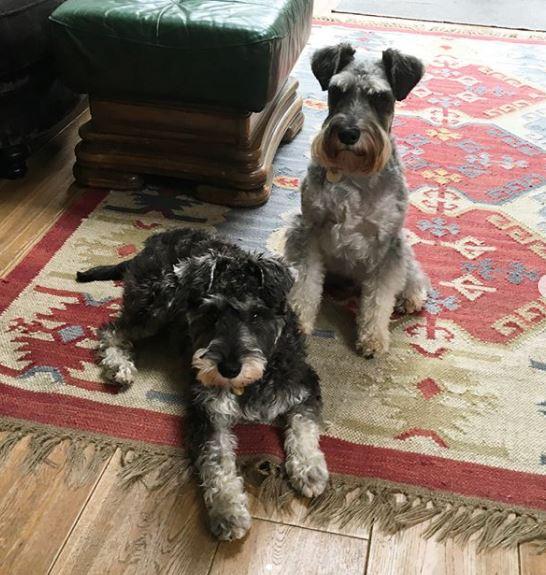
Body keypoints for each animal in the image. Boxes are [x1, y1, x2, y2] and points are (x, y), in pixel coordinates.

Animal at [76, 228, 328, 540]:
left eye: (257, 314)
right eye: (212, 314)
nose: (229, 369)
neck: (252, 382)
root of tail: (155, 240)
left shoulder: (302, 386)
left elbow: (304, 427)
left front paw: (309, 470)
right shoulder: (208, 413)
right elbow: (216, 461)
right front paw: (228, 512)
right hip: (156, 304)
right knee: (113, 330)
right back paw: (118, 366)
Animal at [282, 45, 428, 358]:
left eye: (381, 97)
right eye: (337, 91)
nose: (348, 133)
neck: (352, 175)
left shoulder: (387, 244)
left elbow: (379, 299)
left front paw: (373, 339)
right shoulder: (309, 230)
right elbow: (307, 283)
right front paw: (298, 320)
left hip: (403, 248)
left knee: (413, 273)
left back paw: (411, 297)